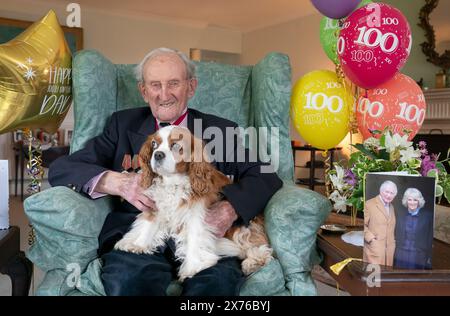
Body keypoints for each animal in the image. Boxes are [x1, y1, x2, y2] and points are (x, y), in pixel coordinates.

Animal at [114, 124, 272, 280]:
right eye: (154, 144)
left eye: (176, 145)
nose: (158, 154)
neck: (172, 182)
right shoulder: (157, 205)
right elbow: (149, 224)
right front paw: (138, 243)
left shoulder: (196, 215)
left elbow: (194, 238)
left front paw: (192, 267)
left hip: (242, 230)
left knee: (259, 247)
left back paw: (252, 263)